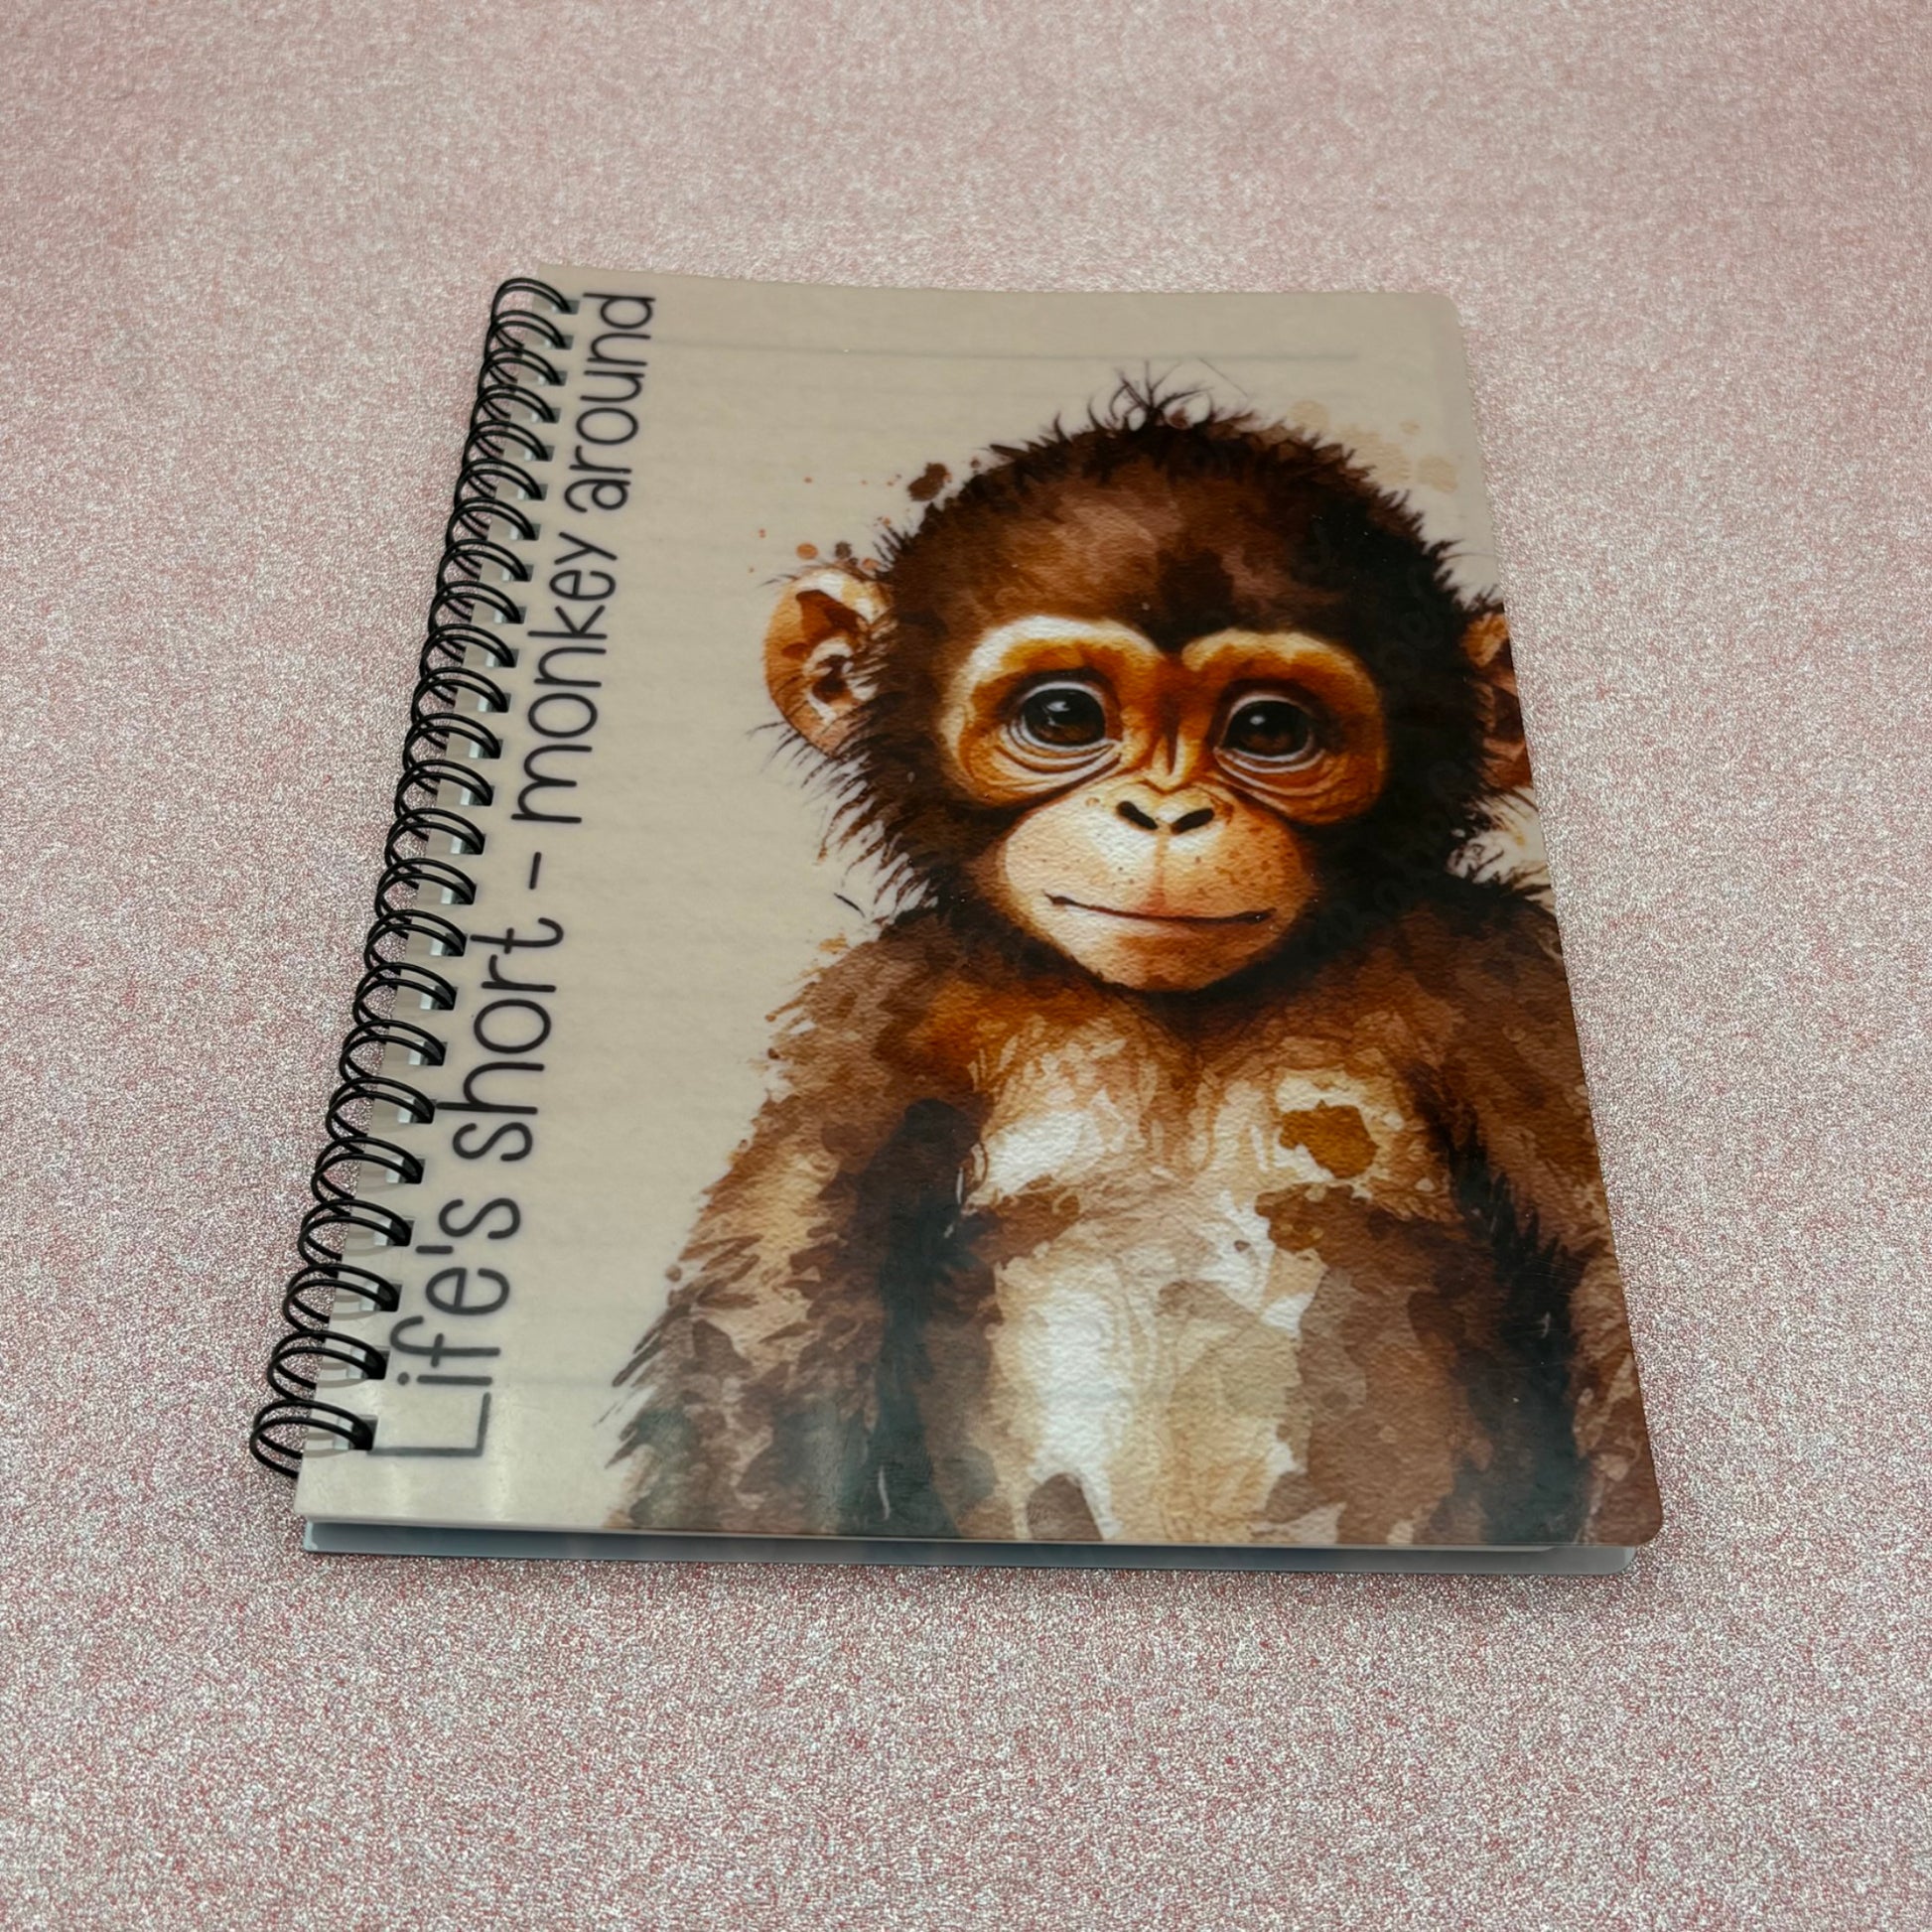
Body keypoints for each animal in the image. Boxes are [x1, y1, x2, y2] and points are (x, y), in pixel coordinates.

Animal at [611, 388, 1660, 1551]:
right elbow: (775, 1330)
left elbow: (1600, 1285)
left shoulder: (1500, 981)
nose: (1164, 814)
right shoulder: (875, 1015)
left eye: (1269, 729)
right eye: (1063, 716)